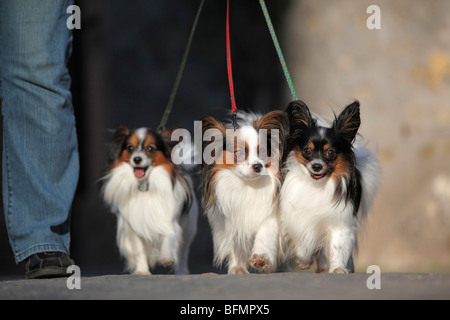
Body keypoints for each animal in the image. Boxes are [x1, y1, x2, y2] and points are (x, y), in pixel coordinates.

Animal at [103, 126, 199, 274]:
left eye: (150, 148)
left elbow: (168, 237)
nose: (137, 159)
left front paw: (166, 257)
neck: (144, 185)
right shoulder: (133, 226)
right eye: (130, 148)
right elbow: (139, 250)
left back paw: (181, 271)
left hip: (188, 228)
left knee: (183, 251)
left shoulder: (168, 219)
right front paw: (142, 271)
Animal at [201, 111, 288, 274]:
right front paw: (237, 268)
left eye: (262, 153)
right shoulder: (232, 219)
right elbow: (235, 244)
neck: (247, 185)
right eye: (240, 153)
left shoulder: (270, 213)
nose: (257, 166)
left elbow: (264, 233)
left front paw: (261, 258)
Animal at [282, 100, 380, 272]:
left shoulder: (340, 222)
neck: (317, 185)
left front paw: (338, 268)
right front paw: (304, 260)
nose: (317, 166)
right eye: (307, 150)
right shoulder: (299, 218)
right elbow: (303, 242)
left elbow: (338, 247)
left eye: (331, 153)